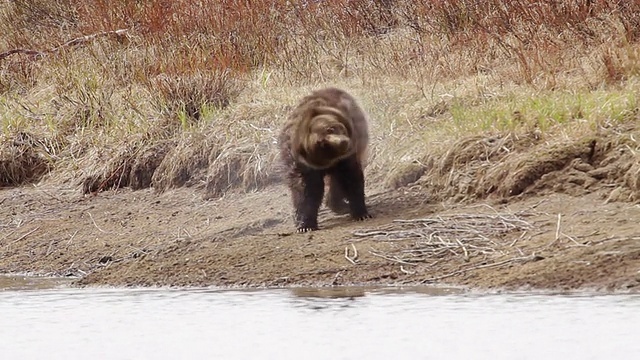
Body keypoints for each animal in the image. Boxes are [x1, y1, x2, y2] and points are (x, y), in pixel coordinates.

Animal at [278, 88, 372, 232]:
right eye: (322, 142)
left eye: (332, 128)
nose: (343, 142)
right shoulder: (301, 163)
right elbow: (306, 189)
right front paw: (305, 225)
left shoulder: (346, 157)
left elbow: (350, 178)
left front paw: (361, 213)